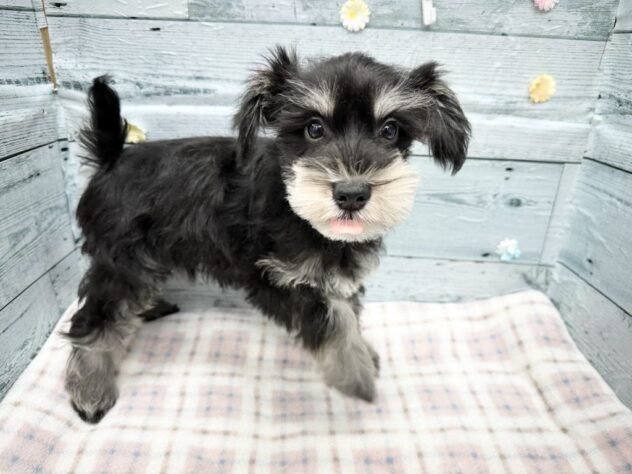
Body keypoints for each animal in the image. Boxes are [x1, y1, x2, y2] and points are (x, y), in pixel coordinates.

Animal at [64, 47, 470, 423]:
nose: (352, 194)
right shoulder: (273, 278)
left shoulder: (331, 274)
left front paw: (365, 354)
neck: (295, 205)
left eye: (390, 131)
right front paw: (356, 374)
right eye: (314, 128)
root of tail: (110, 158)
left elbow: (347, 311)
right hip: (123, 260)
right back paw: (91, 392)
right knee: (95, 320)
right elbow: (334, 321)